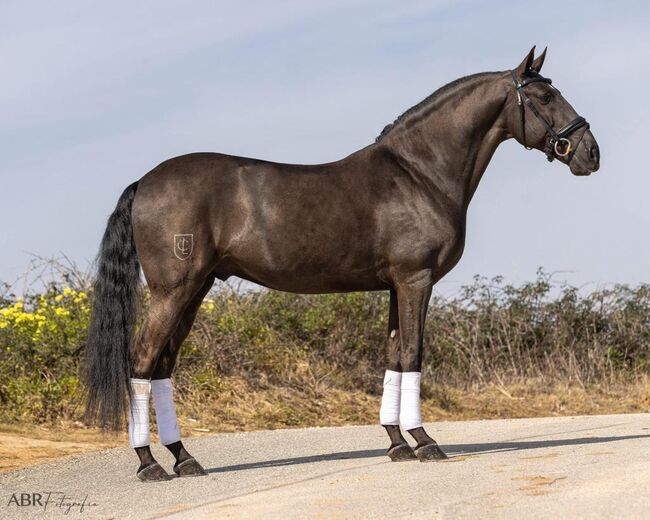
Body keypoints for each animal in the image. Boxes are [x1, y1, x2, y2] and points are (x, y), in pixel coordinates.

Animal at [85, 46, 596, 482]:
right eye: (544, 96)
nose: (590, 153)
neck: (419, 173)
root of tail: (144, 182)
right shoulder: (416, 280)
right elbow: (413, 355)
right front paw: (426, 442)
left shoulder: (395, 285)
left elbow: (393, 358)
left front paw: (397, 443)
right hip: (174, 290)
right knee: (142, 359)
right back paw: (149, 463)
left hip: (196, 289)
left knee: (163, 365)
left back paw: (184, 458)